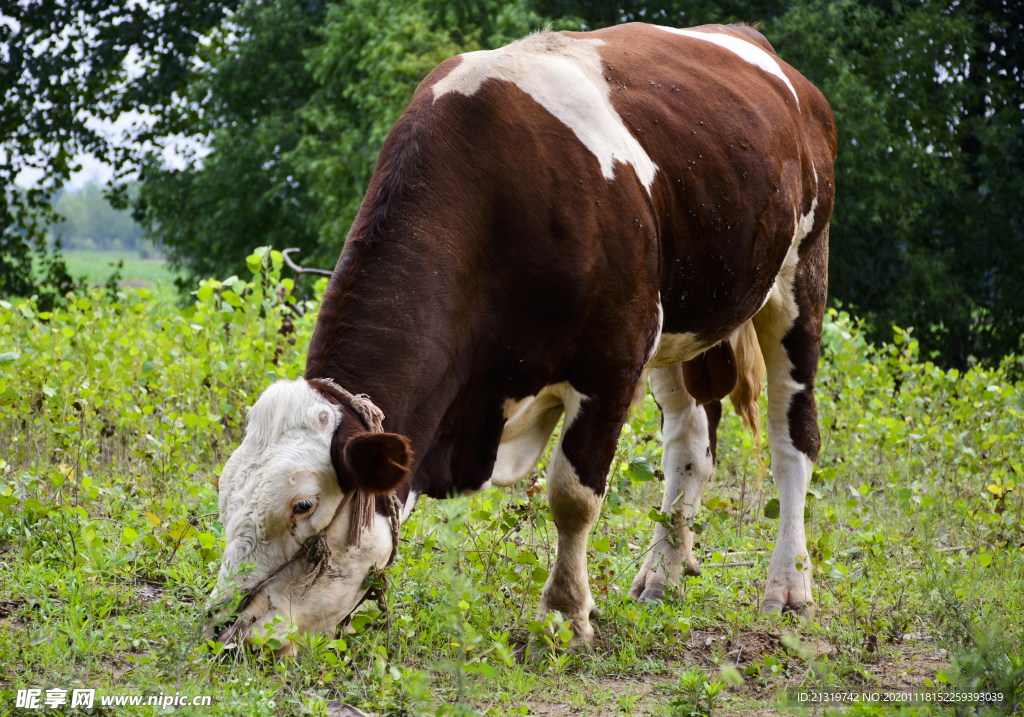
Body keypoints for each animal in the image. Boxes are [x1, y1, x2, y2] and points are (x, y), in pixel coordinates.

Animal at [207, 20, 831, 655]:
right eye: (225, 495)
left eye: (302, 505)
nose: (227, 634)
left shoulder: (613, 358)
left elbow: (572, 495)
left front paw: (566, 615)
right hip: (684, 325)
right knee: (690, 449)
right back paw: (662, 575)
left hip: (801, 276)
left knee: (793, 440)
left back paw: (788, 587)